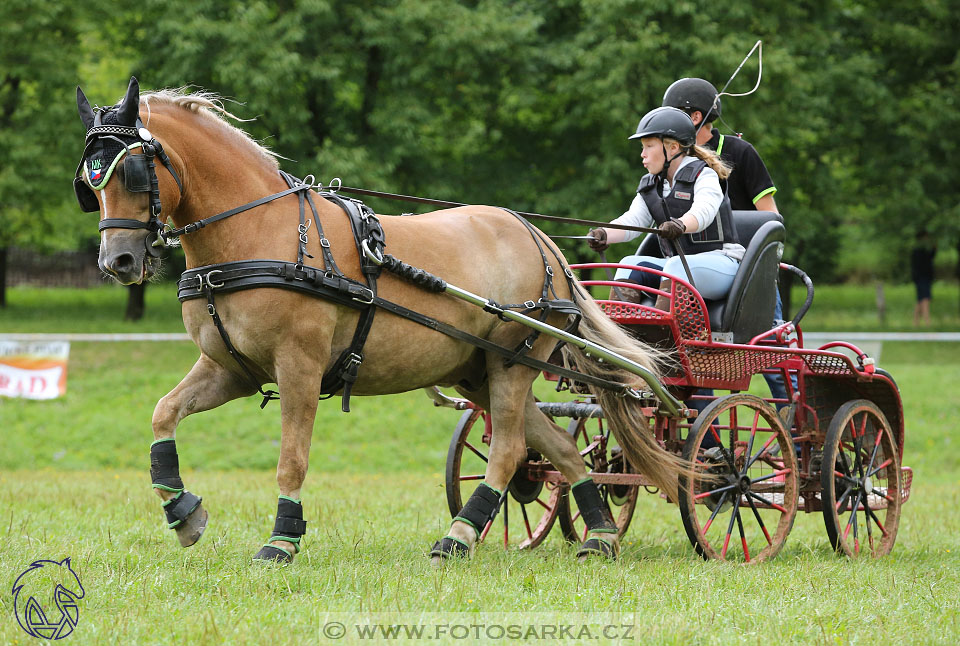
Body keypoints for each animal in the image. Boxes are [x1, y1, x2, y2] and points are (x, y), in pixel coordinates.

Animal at [77, 77, 688, 568]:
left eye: (133, 172)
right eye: (89, 182)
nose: (118, 262)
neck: (259, 232)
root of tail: (540, 240)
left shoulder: (298, 368)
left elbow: (291, 460)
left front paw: (281, 540)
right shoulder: (232, 369)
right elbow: (163, 415)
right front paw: (183, 512)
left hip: (511, 363)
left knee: (511, 450)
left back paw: (459, 536)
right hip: (478, 374)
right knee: (558, 447)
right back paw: (599, 535)